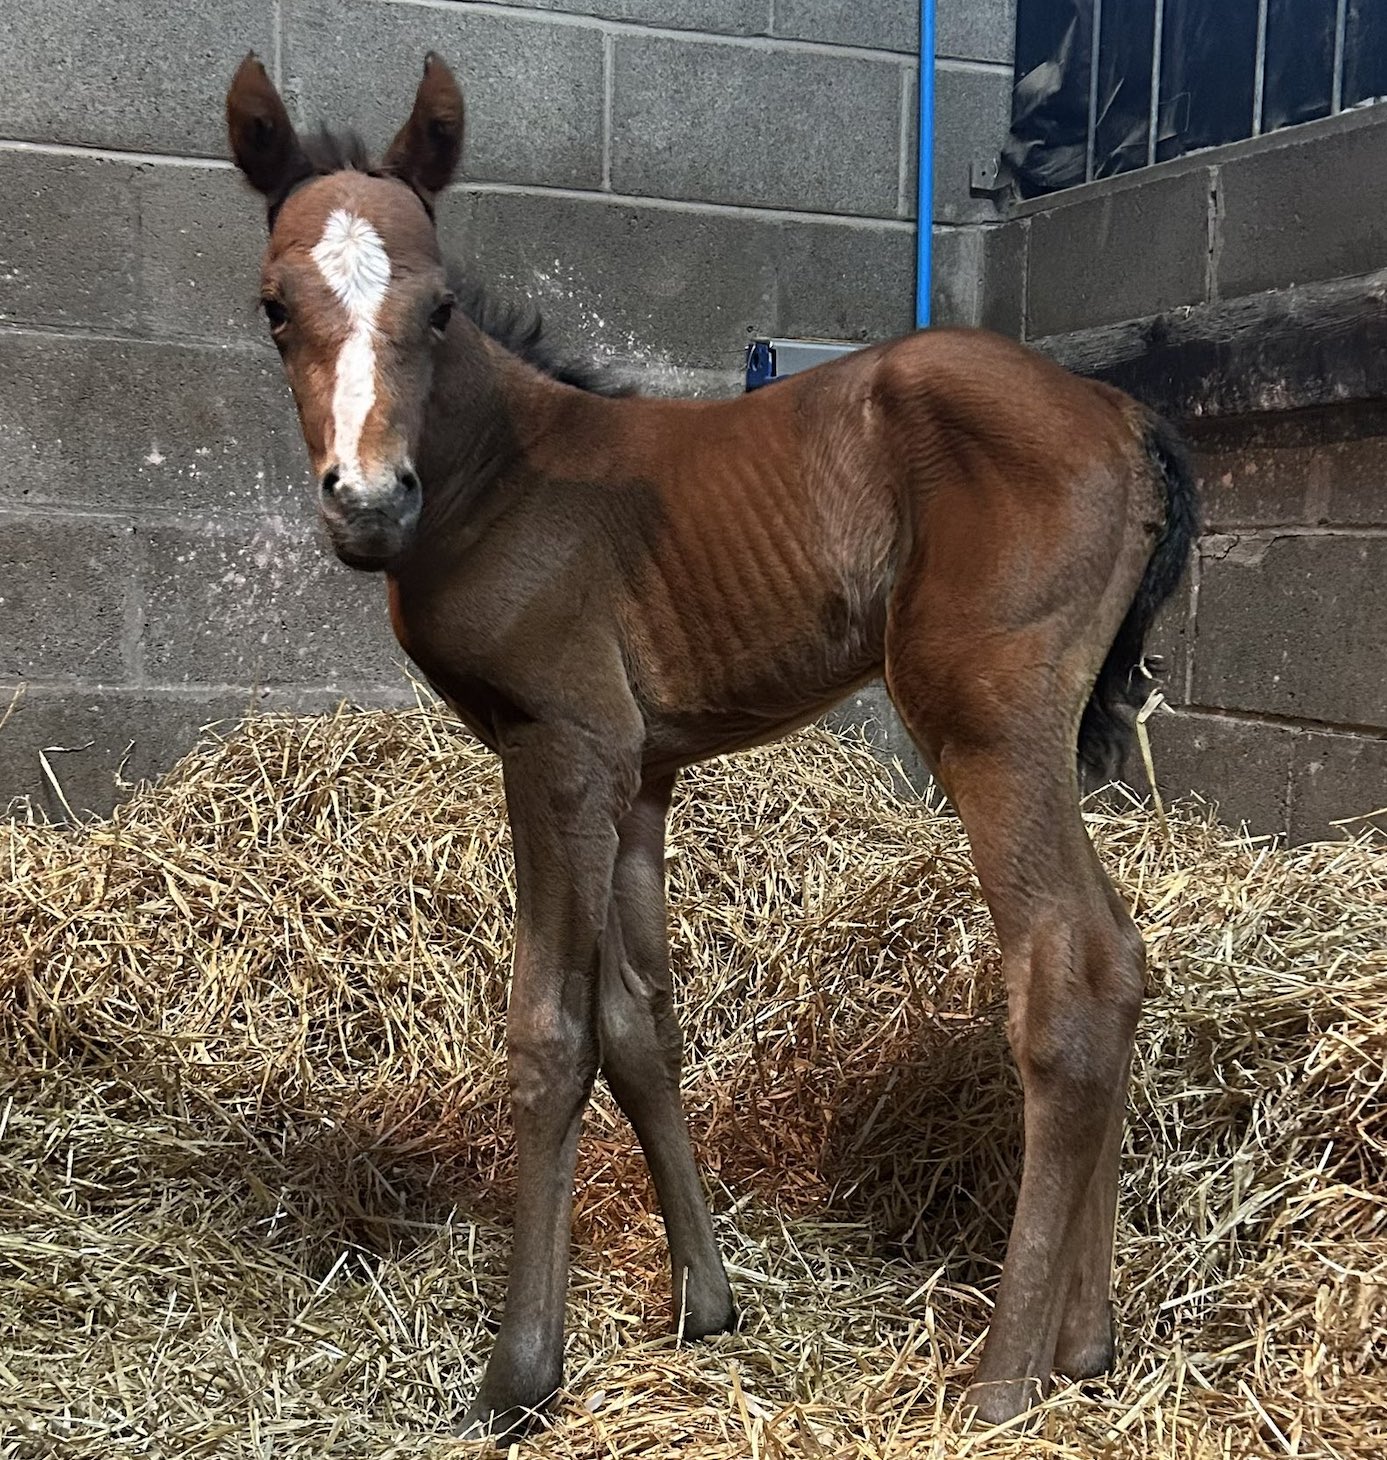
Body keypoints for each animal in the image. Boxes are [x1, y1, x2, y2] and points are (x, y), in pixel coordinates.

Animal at [224, 51, 1198, 1442]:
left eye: (439, 307)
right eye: (274, 308)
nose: (366, 502)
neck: (503, 478)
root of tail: (1118, 408)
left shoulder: (561, 750)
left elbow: (551, 1035)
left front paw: (520, 1370)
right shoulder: (641, 776)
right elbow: (643, 1027)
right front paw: (707, 1303)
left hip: (987, 720)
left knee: (1069, 973)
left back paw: (1002, 1373)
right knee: (1118, 956)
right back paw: (1086, 1342)